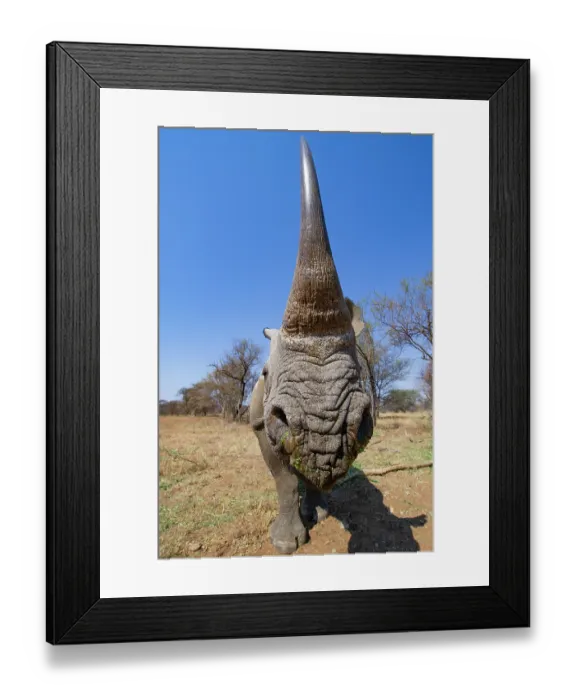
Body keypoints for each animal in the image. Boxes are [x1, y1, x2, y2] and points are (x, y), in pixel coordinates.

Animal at [249, 138, 375, 554]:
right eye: (264, 373)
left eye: (362, 371)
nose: (326, 430)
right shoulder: (261, 421)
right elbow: (283, 479)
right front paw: (285, 543)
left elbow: (306, 475)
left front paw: (316, 513)